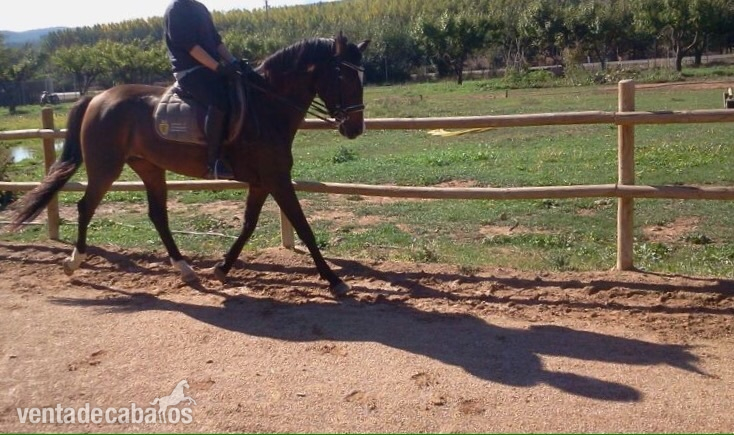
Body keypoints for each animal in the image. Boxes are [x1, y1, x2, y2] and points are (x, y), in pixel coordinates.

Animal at [9, 32, 370, 296]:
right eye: (342, 74)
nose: (354, 128)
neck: (266, 106)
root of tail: (98, 98)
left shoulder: (262, 181)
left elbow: (248, 224)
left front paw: (222, 268)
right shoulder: (276, 179)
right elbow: (303, 226)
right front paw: (335, 280)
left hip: (149, 167)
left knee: (158, 216)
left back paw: (185, 269)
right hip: (105, 167)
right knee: (86, 207)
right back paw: (75, 261)